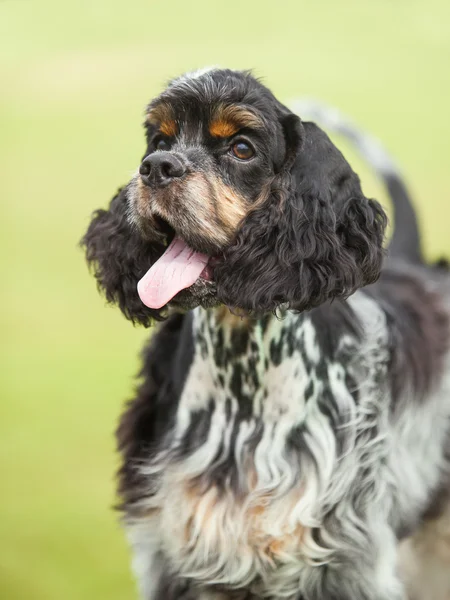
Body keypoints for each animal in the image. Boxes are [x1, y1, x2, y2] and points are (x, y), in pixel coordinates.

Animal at [82, 69, 450, 600]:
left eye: (241, 148)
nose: (155, 168)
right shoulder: (173, 553)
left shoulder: (345, 560)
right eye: (159, 140)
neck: (241, 377)